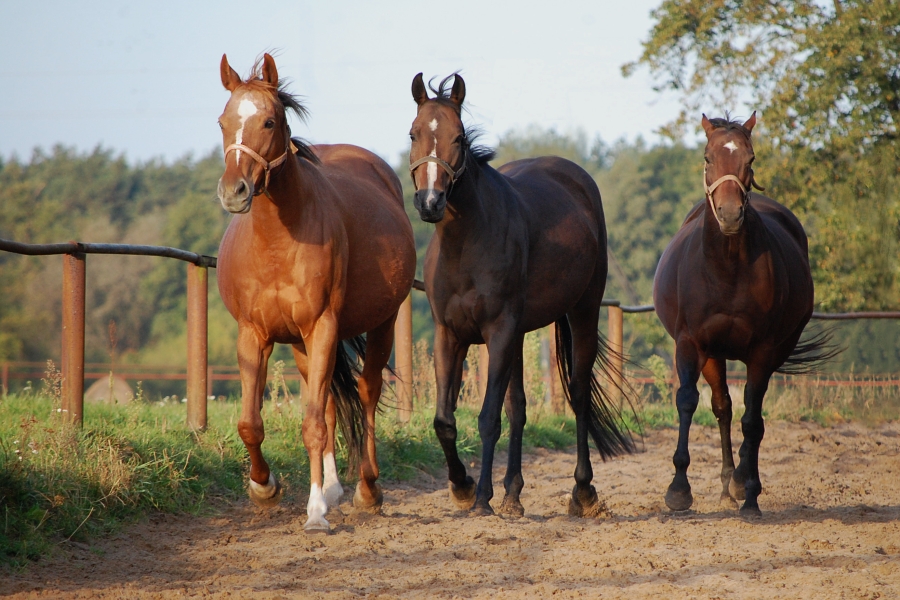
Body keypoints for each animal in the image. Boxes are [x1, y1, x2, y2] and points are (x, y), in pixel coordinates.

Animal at [216, 54, 416, 532]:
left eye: (269, 121)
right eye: (222, 122)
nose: (234, 192)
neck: (276, 241)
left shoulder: (323, 326)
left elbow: (312, 425)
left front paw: (315, 513)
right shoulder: (255, 335)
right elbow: (251, 423)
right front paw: (265, 488)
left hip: (379, 325)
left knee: (366, 393)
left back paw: (367, 489)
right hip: (303, 346)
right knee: (324, 401)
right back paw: (332, 487)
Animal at [412, 74, 636, 516]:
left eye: (459, 137)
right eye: (413, 134)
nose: (430, 203)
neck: (466, 245)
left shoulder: (498, 332)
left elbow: (487, 418)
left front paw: (481, 497)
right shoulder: (450, 334)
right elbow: (446, 420)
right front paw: (462, 487)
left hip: (582, 312)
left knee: (579, 394)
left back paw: (582, 491)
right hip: (518, 335)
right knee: (519, 406)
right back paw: (513, 493)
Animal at [652, 113, 828, 516]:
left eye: (750, 158)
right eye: (707, 157)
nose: (731, 214)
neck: (726, 269)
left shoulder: (763, 351)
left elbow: (752, 419)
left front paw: (748, 491)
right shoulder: (691, 344)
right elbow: (689, 402)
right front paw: (678, 489)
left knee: (751, 416)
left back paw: (743, 483)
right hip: (713, 356)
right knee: (723, 408)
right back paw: (726, 483)